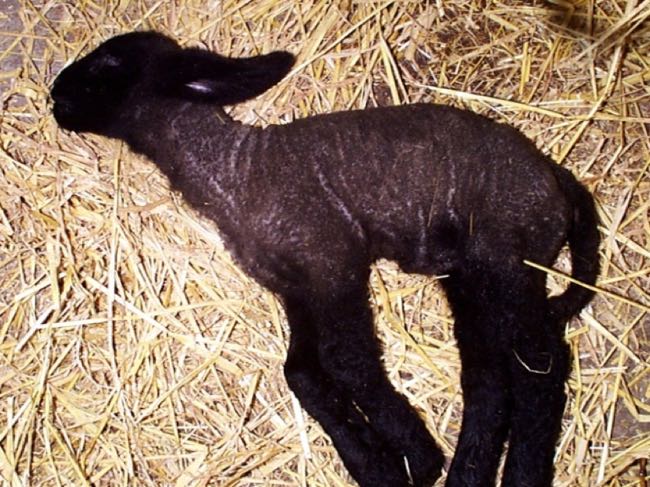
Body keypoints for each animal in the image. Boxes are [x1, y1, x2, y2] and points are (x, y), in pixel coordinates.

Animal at [50, 31, 600, 487]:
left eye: (109, 63)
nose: (54, 95)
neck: (234, 174)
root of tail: (559, 178)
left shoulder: (331, 260)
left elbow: (347, 360)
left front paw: (412, 455)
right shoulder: (294, 286)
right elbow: (301, 373)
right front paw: (374, 463)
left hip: (506, 257)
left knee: (539, 368)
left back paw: (516, 473)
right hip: (469, 275)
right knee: (488, 376)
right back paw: (467, 474)